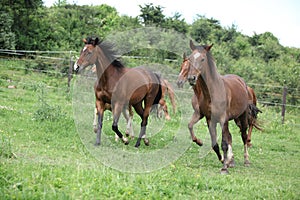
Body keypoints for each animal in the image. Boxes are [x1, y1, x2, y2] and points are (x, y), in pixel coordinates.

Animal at [186, 39, 258, 173]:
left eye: (202, 59)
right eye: (189, 58)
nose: (191, 78)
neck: (212, 92)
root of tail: (244, 84)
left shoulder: (223, 119)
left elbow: (224, 143)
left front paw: (224, 168)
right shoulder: (209, 119)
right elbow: (215, 144)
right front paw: (223, 160)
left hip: (242, 118)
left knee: (244, 136)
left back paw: (246, 160)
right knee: (230, 136)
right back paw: (231, 161)